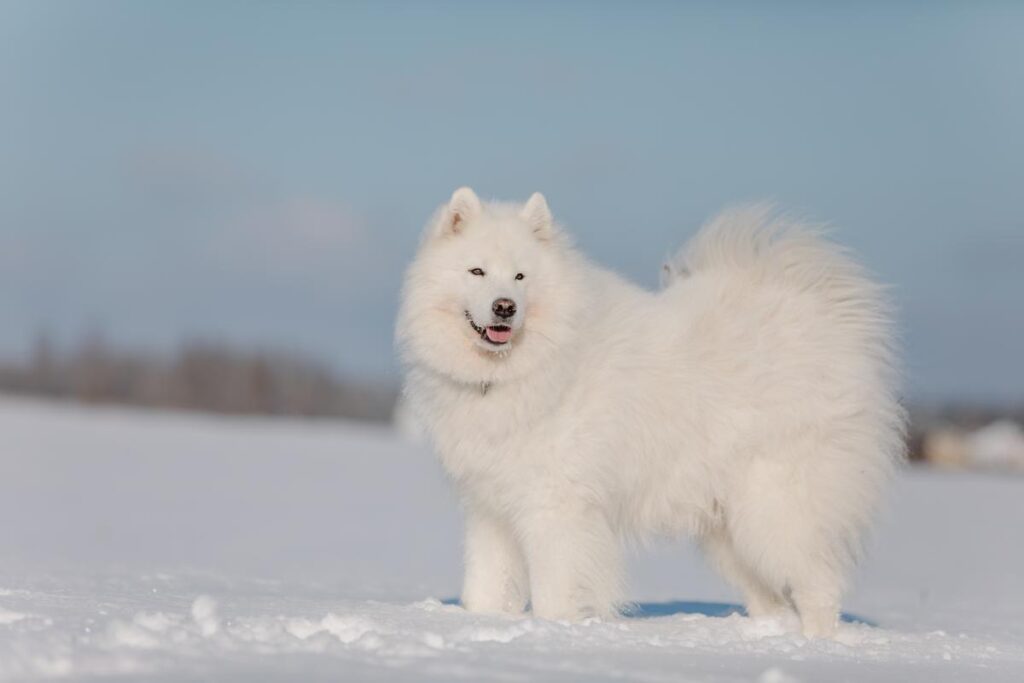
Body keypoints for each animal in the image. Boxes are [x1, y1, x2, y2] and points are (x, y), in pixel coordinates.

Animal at [397, 188, 905, 643]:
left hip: (774, 510)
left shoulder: (556, 508)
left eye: (521, 277)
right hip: (727, 532)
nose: (505, 307)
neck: (516, 372)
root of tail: (822, 320)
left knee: (820, 587)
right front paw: (479, 625)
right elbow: (485, 586)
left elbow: (555, 591)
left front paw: (552, 632)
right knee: (774, 600)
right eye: (477, 270)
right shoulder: (490, 508)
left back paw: (815, 647)